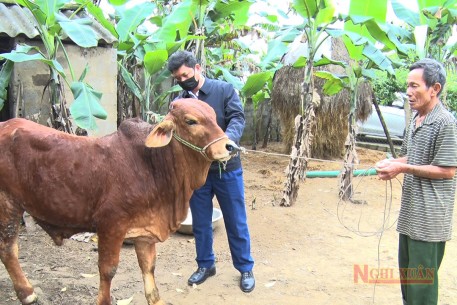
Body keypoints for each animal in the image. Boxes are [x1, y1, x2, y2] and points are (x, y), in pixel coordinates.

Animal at [0, 98, 235, 302]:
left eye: (214, 116)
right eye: (191, 121)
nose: (230, 147)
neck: (153, 165)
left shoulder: (145, 231)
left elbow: (149, 267)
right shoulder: (111, 225)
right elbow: (108, 270)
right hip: (8, 205)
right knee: (8, 249)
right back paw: (27, 294)